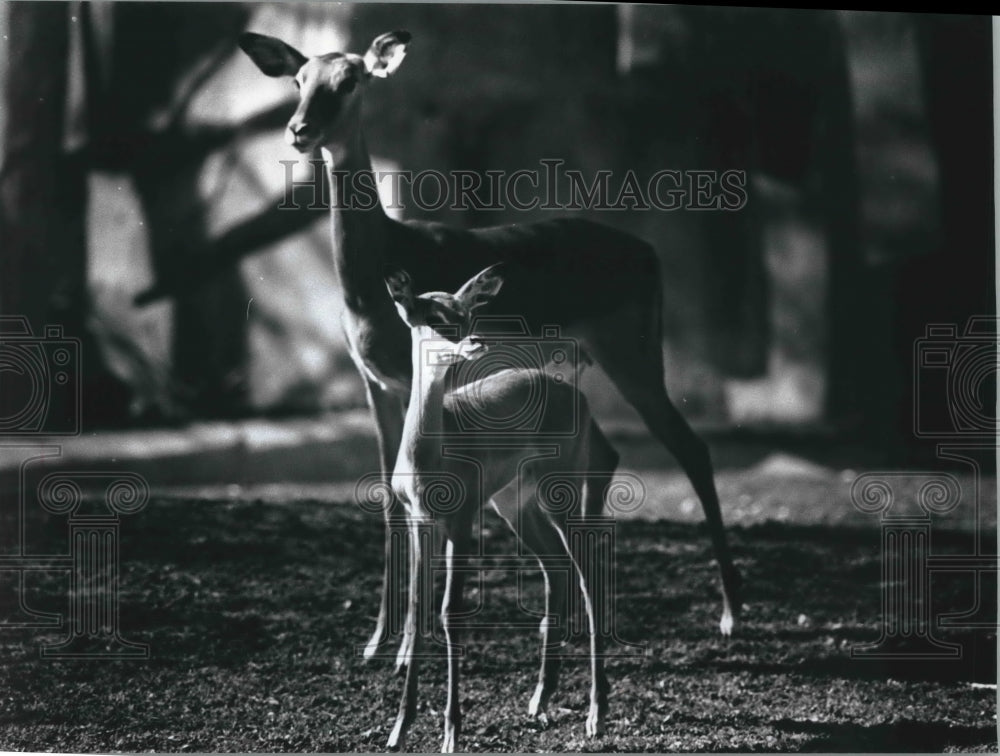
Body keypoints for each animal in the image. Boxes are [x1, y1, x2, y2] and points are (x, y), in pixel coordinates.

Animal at [237, 30, 742, 662]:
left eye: (350, 79)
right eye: (299, 80)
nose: (299, 130)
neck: (374, 273)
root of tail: (648, 252)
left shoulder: (416, 382)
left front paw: (411, 642)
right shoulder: (374, 382)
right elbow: (388, 498)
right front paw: (376, 642)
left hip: (635, 357)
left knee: (690, 448)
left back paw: (729, 616)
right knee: (607, 452)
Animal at [384, 264, 608, 751]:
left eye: (465, 313)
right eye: (431, 314)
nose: (475, 341)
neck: (426, 457)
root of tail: (573, 392)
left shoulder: (461, 520)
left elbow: (450, 613)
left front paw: (451, 732)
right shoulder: (417, 521)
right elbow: (416, 610)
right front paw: (398, 729)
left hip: (559, 493)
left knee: (587, 574)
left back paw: (596, 716)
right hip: (516, 504)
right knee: (557, 566)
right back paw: (539, 701)